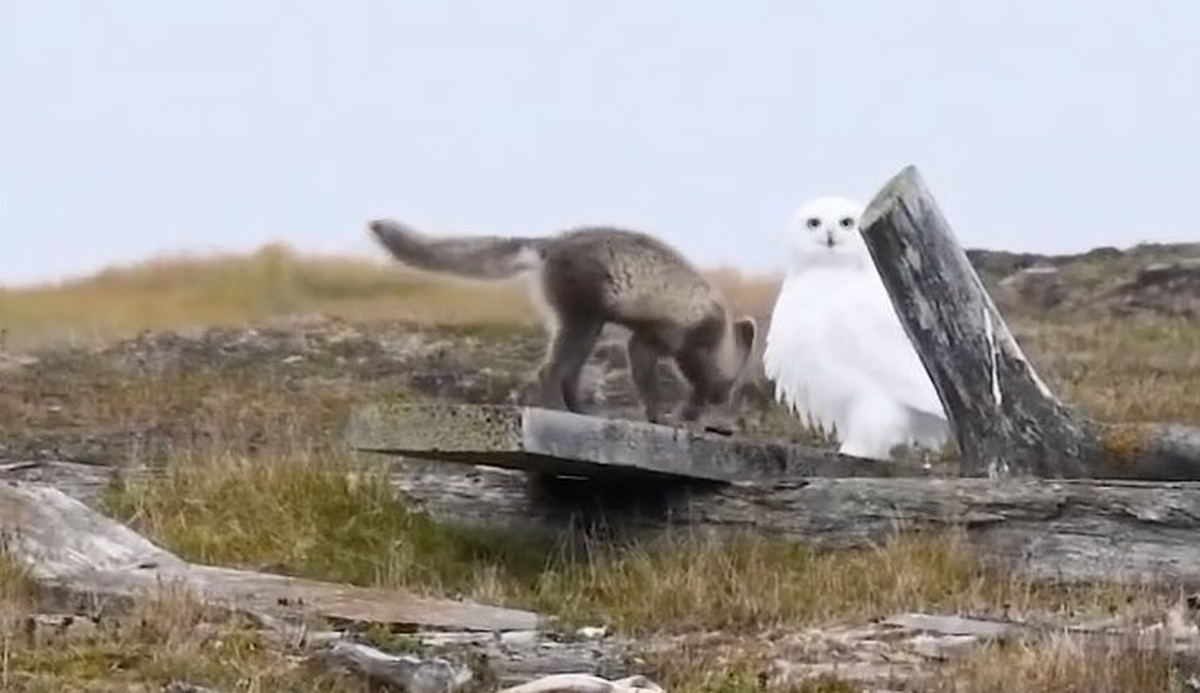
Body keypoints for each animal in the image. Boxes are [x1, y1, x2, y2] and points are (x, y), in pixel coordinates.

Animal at [367, 218, 758, 429]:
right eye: (733, 381)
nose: (722, 397)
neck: (717, 327)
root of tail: (550, 243)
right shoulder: (661, 338)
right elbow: (651, 378)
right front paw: (664, 415)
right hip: (581, 317)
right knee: (551, 371)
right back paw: (558, 409)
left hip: (587, 321)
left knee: (567, 373)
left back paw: (580, 411)